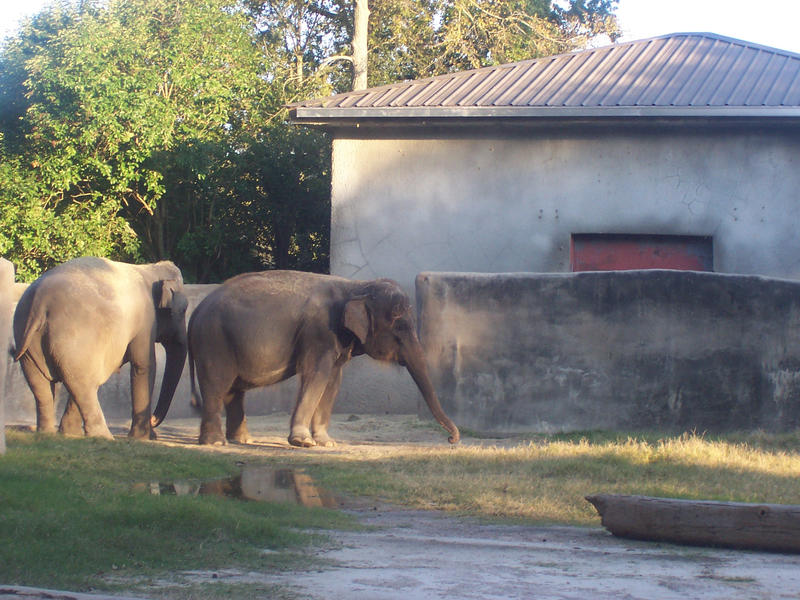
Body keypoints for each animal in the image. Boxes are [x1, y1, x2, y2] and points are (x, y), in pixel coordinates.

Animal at [12, 255, 189, 438]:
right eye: (184, 310)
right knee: (83, 385)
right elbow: (144, 365)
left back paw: (50, 433)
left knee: (46, 386)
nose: (154, 420)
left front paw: (69, 433)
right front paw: (144, 438)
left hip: (28, 341)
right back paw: (104, 436)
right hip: (73, 338)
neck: (150, 269)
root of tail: (40, 300)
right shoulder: (145, 322)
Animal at [188, 270, 460, 448]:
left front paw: (327, 443)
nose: (451, 439)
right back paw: (215, 443)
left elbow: (332, 382)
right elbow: (315, 375)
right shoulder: (319, 333)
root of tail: (194, 314)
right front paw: (303, 442)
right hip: (213, 342)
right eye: (400, 327)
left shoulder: (336, 340)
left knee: (234, 391)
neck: (357, 287)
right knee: (216, 386)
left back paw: (242, 440)